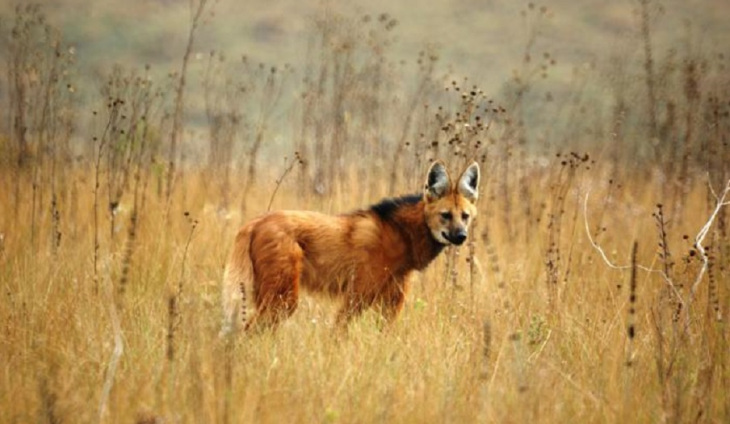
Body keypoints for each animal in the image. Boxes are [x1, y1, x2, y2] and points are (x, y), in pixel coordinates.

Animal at [220, 160, 480, 335]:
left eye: (465, 216)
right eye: (445, 215)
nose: (461, 236)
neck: (401, 236)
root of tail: (254, 222)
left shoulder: (390, 305)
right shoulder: (357, 297)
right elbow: (338, 333)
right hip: (283, 300)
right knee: (248, 330)